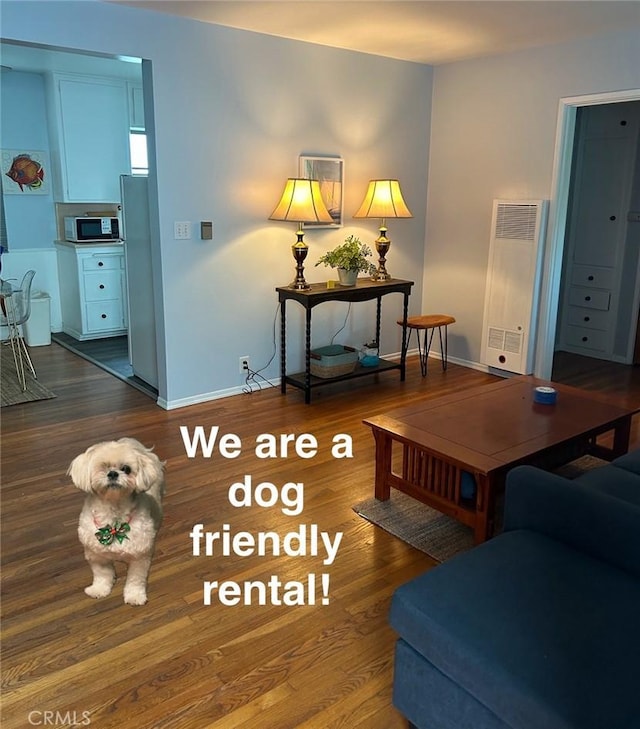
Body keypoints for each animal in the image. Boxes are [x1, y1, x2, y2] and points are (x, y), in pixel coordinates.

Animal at [69, 438, 166, 604]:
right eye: (103, 467)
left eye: (126, 469)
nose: (113, 473)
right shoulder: (96, 556)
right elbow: (102, 575)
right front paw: (99, 590)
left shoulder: (139, 557)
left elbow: (135, 579)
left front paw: (135, 596)